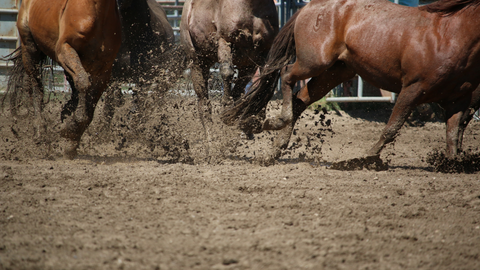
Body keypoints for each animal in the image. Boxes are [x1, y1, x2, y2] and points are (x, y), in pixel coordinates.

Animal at [5, 0, 121, 159]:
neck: (97, 11)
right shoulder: (64, 49)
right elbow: (83, 83)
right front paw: (70, 129)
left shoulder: (103, 71)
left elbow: (90, 105)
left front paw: (72, 140)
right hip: (30, 49)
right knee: (37, 89)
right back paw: (40, 132)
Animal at [179, 0, 278, 159]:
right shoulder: (225, 40)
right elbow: (227, 72)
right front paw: (226, 107)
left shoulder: (264, 51)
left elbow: (267, 81)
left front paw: (254, 120)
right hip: (198, 62)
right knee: (204, 104)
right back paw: (212, 145)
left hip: (246, 65)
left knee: (238, 92)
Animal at [223, 0, 480, 165]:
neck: (449, 35)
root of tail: (310, 6)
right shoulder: (414, 88)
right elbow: (392, 128)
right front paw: (366, 157)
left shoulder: (459, 100)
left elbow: (453, 134)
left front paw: (453, 162)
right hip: (314, 62)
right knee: (286, 75)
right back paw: (276, 121)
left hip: (335, 73)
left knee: (300, 99)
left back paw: (274, 148)